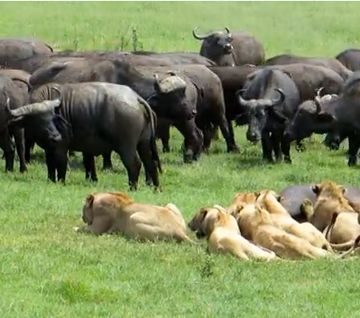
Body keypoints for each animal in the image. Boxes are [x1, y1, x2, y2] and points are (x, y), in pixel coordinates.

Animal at [6, 83, 162, 190]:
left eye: (52, 117)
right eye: (39, 119)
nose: (56, 136)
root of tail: (136, 98)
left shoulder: (61, 148)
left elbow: (61, 165)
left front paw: (61, 182)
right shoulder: (49, 148)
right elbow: (50, 166)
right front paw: (50, 181)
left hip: (126, 146)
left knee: (134, 164)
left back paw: (132, 188)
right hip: (143, 143)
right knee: (150, 163)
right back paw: (156, 188)